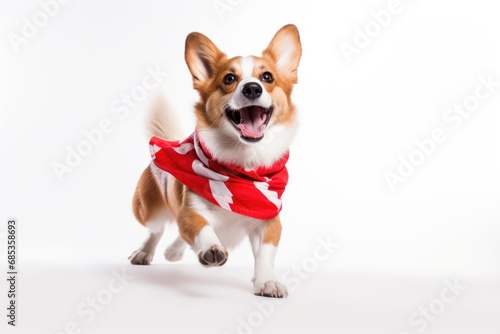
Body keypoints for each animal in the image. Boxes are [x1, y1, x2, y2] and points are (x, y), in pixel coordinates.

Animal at [129, 24, 300, 298]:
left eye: (267, 77)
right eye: (229, 79)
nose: (252, 88)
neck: (242, 168)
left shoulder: (269, 219)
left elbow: (265, 254)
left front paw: (267, 281)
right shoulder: (190, 211)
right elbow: (201, 228)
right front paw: (211, 249)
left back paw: (173, 251)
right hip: (148, 209)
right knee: (156, 229)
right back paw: (145, 252)